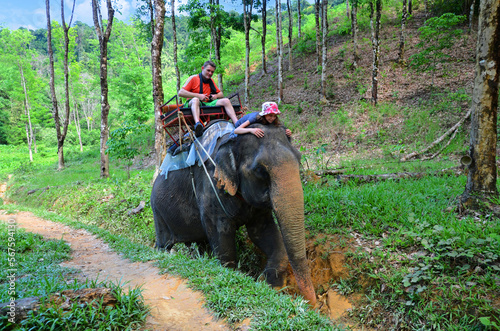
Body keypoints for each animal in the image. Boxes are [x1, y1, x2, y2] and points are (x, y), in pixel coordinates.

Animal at [150, 123, 316, 308]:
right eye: (260, 170)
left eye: (299, 159)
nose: (312, 304)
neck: (231, 141)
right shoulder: (210, 190)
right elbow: (222, 238)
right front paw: (234, 275)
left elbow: (263, 233)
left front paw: (269, 284)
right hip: (157, 212)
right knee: (164, 243)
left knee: (200, 243)